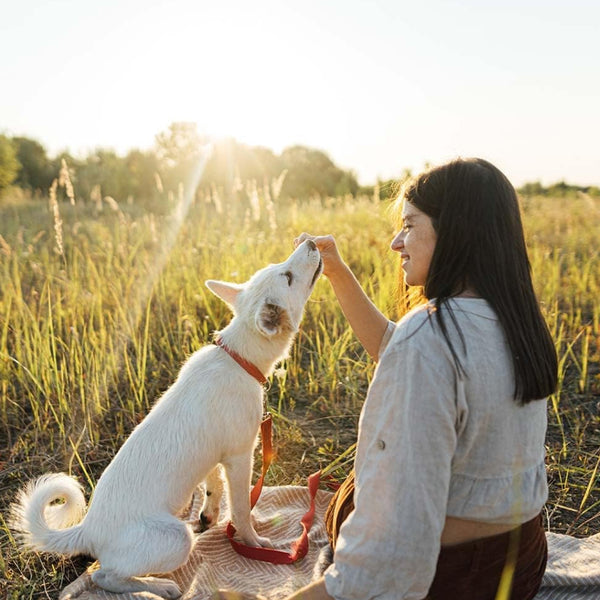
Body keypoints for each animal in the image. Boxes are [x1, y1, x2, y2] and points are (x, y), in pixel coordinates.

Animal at [8, 240, 324, 600]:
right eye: (287, 277)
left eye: (281, 269)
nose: (311, 241)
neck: (238, 357)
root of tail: (87, 529)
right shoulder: (240, 456)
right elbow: (242, 508)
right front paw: (254, 541)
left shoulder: (216, 457)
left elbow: (213, 487)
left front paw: (210, 516)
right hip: (175, 538)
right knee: (105, 576)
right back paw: (159, 586)